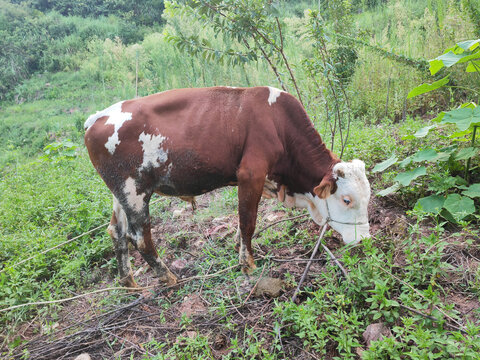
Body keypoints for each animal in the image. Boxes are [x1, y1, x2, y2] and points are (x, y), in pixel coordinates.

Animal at [84, 86, 372, 288]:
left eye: (367, 199)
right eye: (347, 200)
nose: (365, 240)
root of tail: (96, 117)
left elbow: (245, 221)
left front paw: (238, 247)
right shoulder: (250, 174)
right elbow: (248, 221)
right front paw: (247, 264)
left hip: (120, 193)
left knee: (117, 231)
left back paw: (129, 282)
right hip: (134, 191)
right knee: (140, 237)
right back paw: (168, 277)